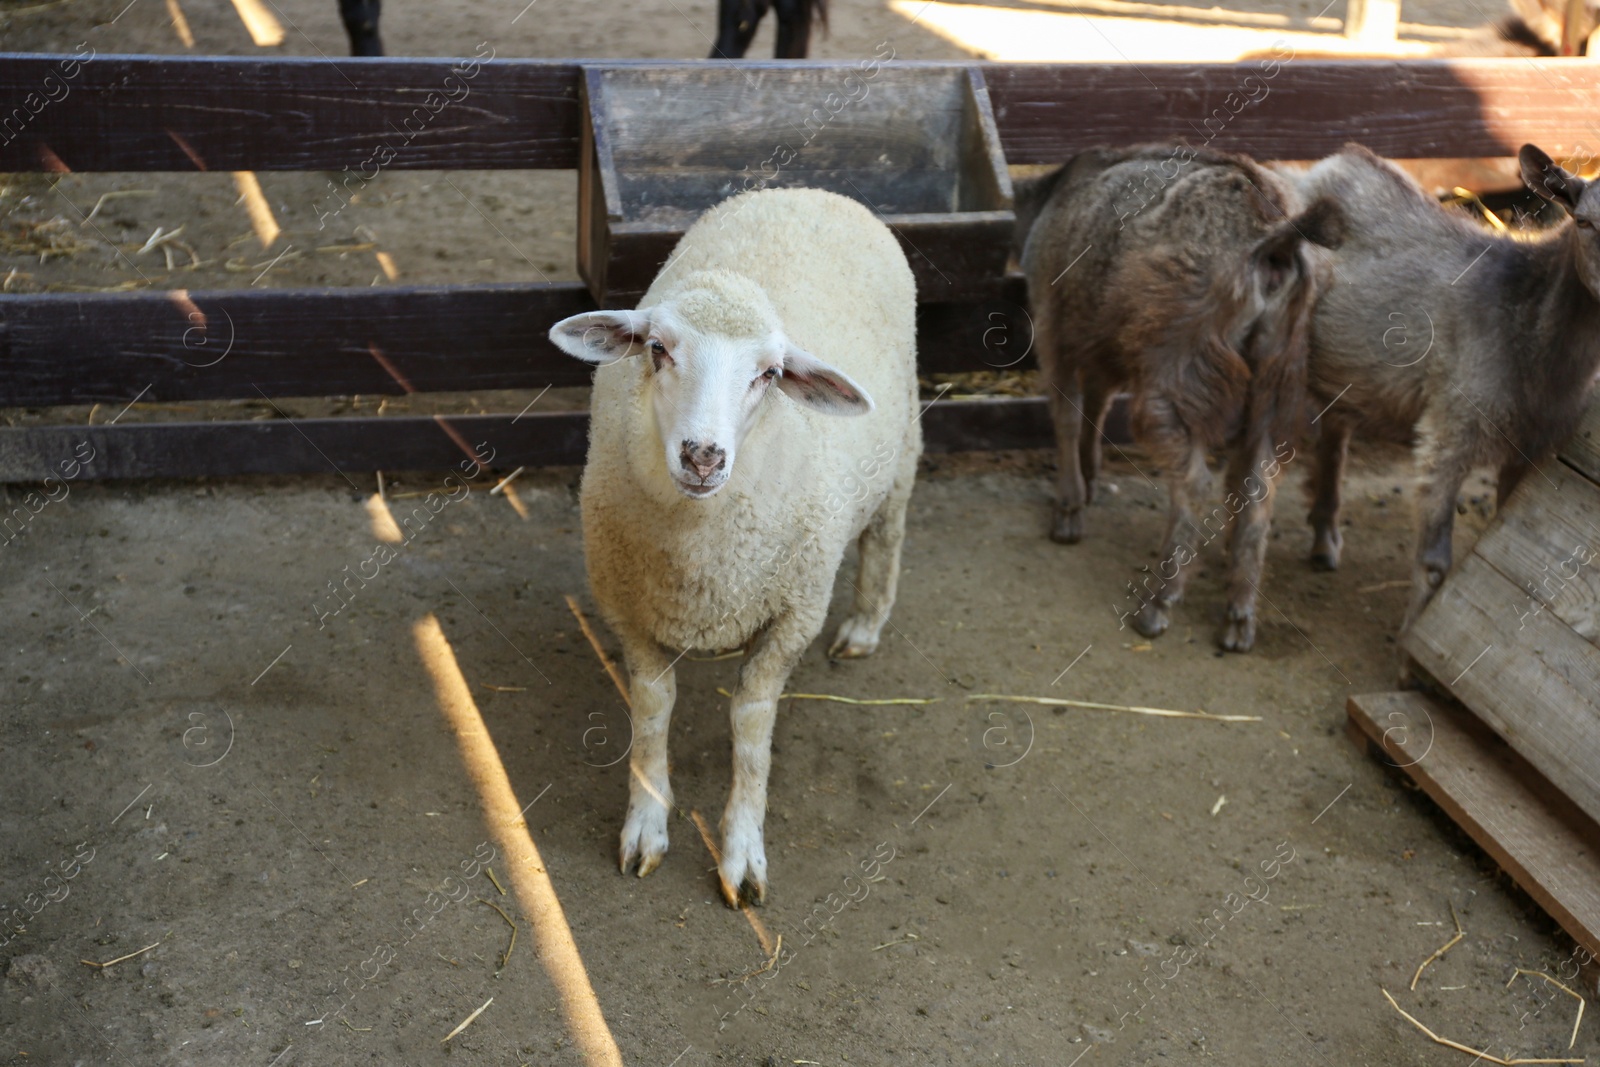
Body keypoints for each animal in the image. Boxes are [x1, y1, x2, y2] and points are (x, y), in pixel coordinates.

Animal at [550, 187, 928, 908]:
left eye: (770, 374)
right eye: (658, 349)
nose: (703, 454)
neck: (703, 557)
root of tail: (806, 191)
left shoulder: (793, 615)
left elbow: (751, 728)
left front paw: (742, 852)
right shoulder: (629, 609)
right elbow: (652, 712)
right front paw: (645, 824)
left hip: (900, 450)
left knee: (887, 532)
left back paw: (866, 624)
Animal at [1017, 146, 1344, 652]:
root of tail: (1275, 238)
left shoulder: (1054, 323)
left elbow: (1067, 412)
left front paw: (1069, 508)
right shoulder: (1106, 340)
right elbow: (1096, 401)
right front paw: (1088, 480)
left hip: (1179, 369)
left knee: (1194, 484)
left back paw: (1158, 603)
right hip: (1281, 374)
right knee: (1258, 485)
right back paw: (1239, 616)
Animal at [1292, 143, 1593, 643]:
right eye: (1586, 222)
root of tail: (1330, 162)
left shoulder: (1531, 450)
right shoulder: (1450, 432)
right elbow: (1434, 562)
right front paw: (1409, 643)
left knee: (1334, 433)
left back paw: (1323, 540)